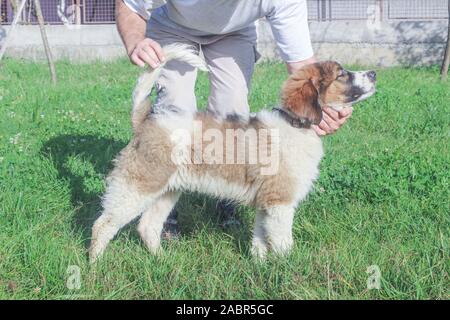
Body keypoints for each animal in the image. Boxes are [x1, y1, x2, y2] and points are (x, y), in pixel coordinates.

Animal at [88, 43, 376, 262]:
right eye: (341, 75)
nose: (373, 73)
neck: (295, 124)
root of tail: (145, 119)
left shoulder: (265, 205)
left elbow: (260, 239)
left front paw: (260, 265)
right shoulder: (280, 204)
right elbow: (283, 243)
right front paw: (289, 269)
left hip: (167, 191)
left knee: (147, 226)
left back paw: (162, 260)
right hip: (138, 187)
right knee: (103, 224)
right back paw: (96, 264)